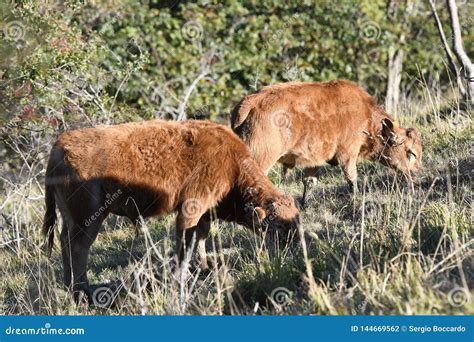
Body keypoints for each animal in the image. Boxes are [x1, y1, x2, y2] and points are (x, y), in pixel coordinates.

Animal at [42, 119, 298, 304]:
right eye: (277, 227)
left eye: (295, 221)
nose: (294, 244)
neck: (233, 165)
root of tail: (59, 147)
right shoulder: (191, 208)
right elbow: (184, 242)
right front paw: (182, 276)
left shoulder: (205, 213)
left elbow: (200, 236)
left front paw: (204, 266)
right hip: (88, 218)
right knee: (79, 247)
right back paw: (83, 293)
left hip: (71, 218)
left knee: (66, 242)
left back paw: (70, 287)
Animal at [231, 80, 424, 206]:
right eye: (411, 152)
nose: (415, 173)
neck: (367, 115)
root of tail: (251, 101)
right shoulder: (348, 154)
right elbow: (351, 178)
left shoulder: (313, 161)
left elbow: (309, 182)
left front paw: (305, 205)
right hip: (260, 160)